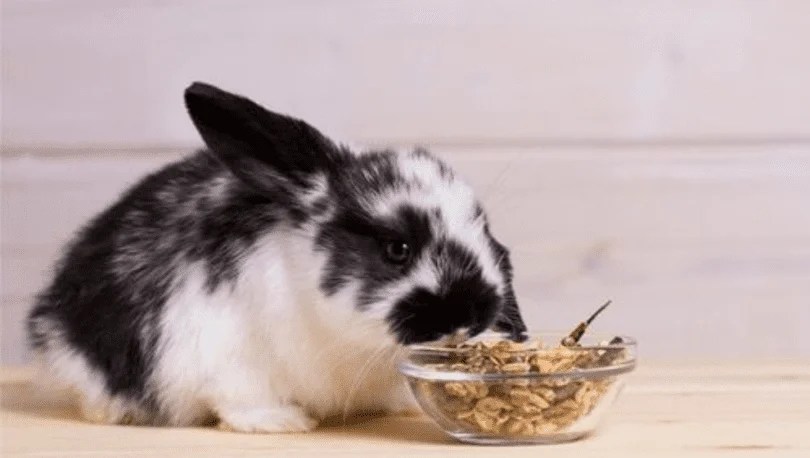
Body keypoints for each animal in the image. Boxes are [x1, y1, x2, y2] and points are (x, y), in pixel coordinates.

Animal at [26, 82, 528, 433]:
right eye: (397, 249)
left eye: (484, 228)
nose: (471, 315)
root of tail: (47, 314)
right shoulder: (219, 352)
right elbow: (239, 399)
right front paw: (282, 423)